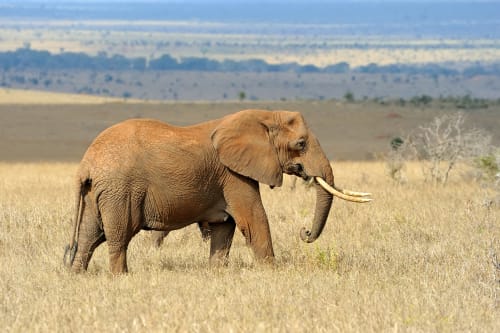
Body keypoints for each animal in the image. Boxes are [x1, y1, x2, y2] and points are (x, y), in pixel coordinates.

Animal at [63, 109, 372, 272]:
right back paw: (121, 277)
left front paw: (216, 273)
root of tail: (85, 164)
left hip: (97, 193)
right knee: (118, 237)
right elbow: (254, 220)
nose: (304, 232)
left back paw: (78, 275)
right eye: (301, 144)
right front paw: (272, 272)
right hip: (120, 190)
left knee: (90, 236)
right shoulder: (233, 175)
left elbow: (225, 227)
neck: (263, 116)